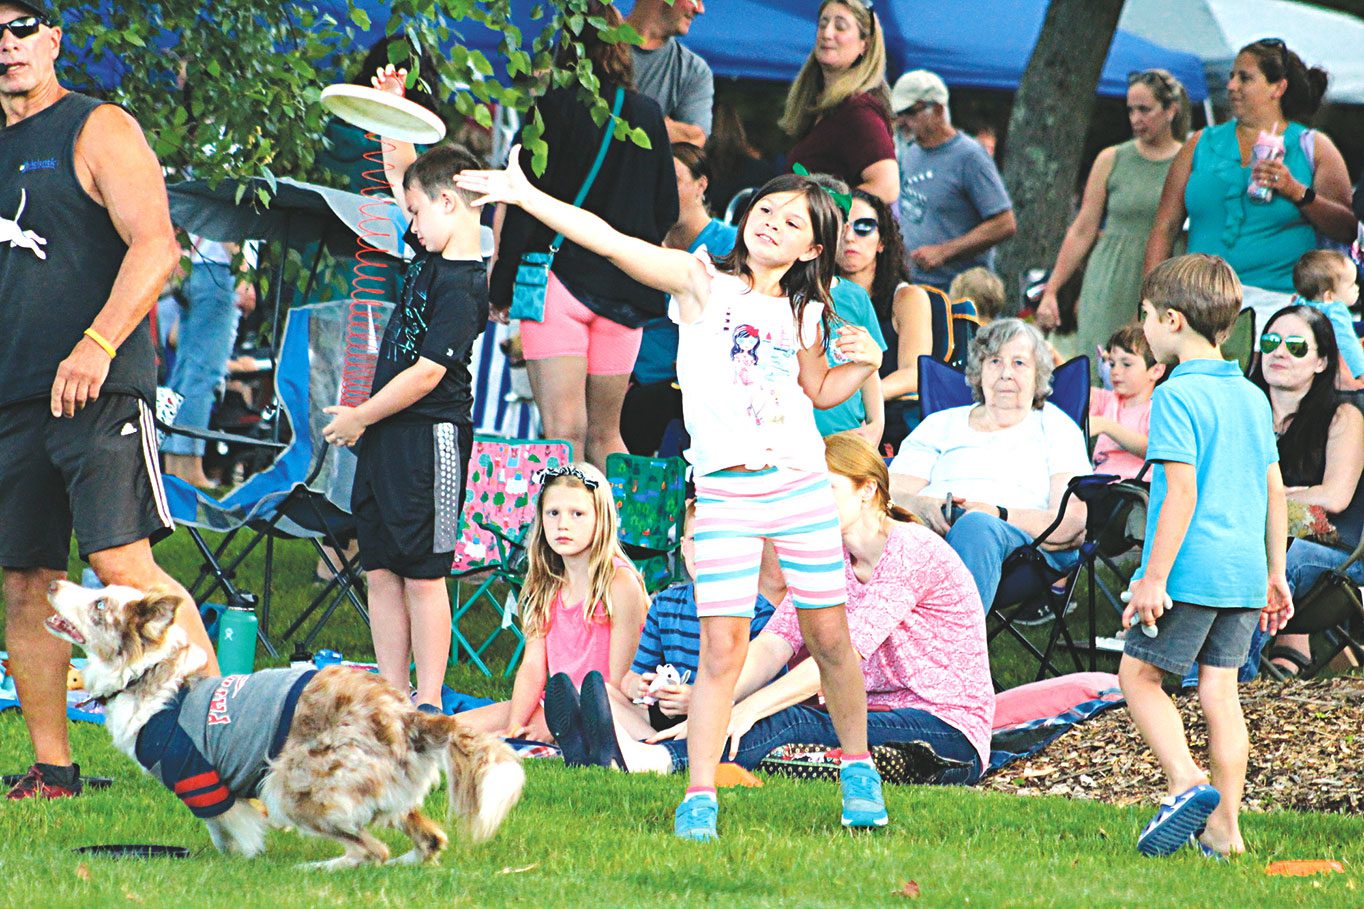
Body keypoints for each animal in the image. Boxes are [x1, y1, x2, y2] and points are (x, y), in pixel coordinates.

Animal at [45, 580, 524, 869]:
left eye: (100, 603)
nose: (53, 583)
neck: (146, 675)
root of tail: (406, 715)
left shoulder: (199, 778)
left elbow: (229, 831)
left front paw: (239, 862)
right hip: (385, 794)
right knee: (428, 842)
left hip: (291, 786)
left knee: (372, 850)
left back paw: (318, 868)